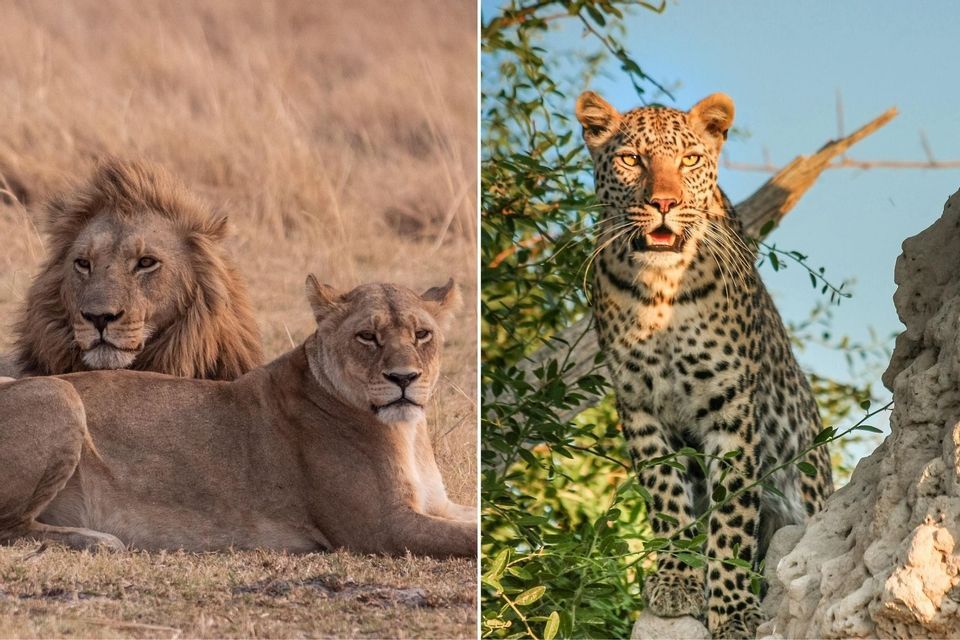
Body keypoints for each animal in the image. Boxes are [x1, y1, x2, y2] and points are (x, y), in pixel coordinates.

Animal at [0, 277, 475, 558]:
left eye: (422, 334)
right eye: (367, 337)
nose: (404, 378)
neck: (408, 433)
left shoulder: (438, 504)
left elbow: (473, 518)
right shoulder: (382, 528)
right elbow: (466, 538)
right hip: (59, 393)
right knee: (8, 526)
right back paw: (95, 539)